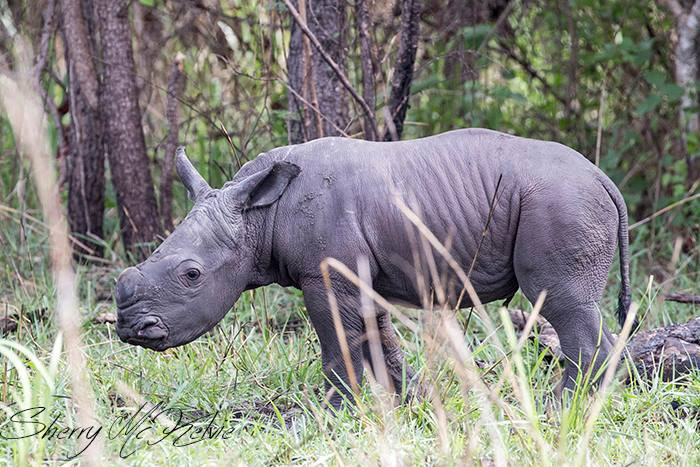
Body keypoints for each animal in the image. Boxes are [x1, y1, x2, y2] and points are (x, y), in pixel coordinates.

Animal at [115, 128, 631, 407]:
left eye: (192, 275)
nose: (131, 329)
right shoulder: (360, 272)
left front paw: (332, 412)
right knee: (577, 306)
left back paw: (558, 408)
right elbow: (379, 337)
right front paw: (410, 402)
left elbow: (337, 341)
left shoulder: (326, 273)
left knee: (561, 301)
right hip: (568, 200)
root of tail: (604, 178)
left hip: (562, 202)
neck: (260, 216)